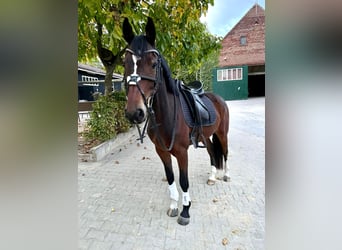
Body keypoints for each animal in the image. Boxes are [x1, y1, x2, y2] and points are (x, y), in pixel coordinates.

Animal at [123, 16, 230, 226]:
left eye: (154, 63)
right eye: (124, 63)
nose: (134, 113)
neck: (166, 115)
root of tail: (218, 98)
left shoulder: (182, 152)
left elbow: (184, 181)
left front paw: (186, 211)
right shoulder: (162, 151)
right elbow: (171, 178)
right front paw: (174, 206)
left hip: (222, 133)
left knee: (226, 152)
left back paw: (226, 175)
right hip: (206, 137)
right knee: (212, 153)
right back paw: (212, 177)